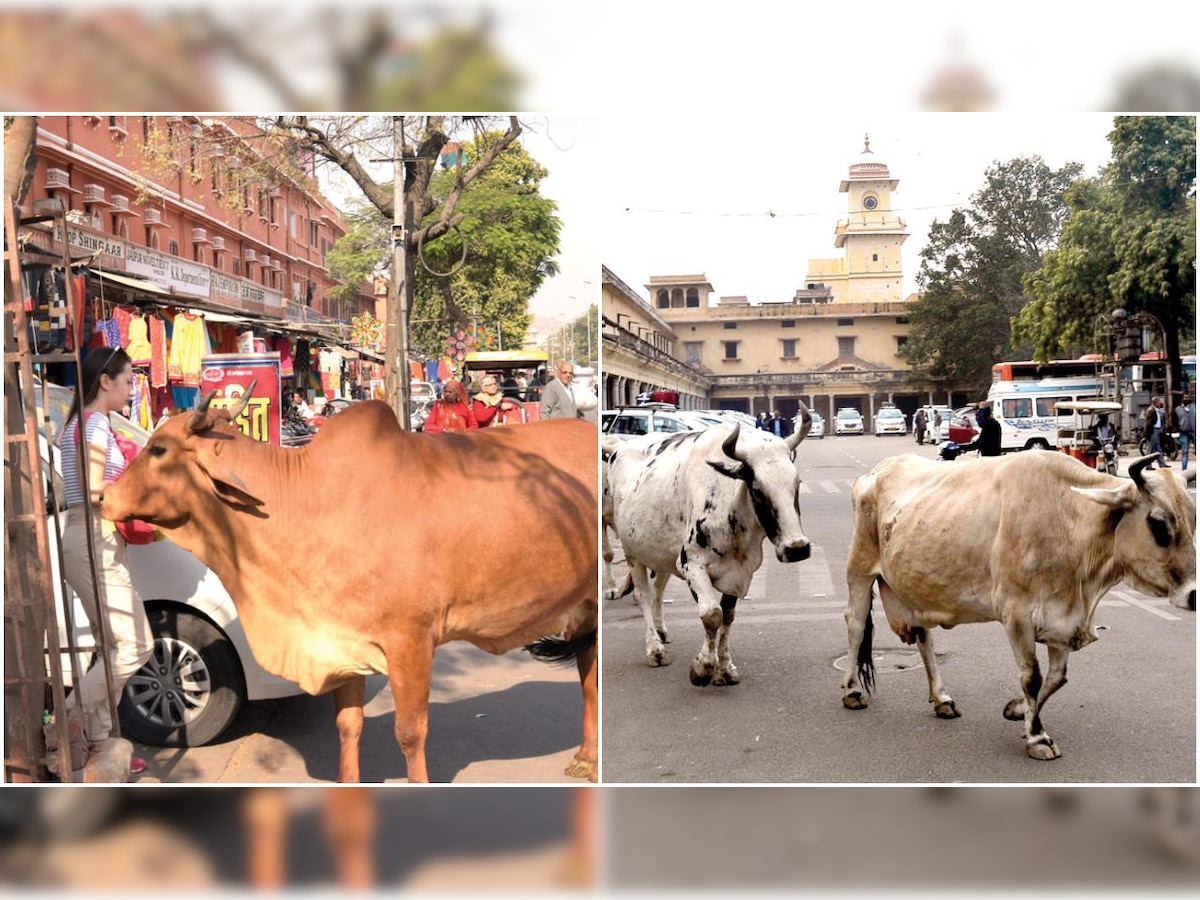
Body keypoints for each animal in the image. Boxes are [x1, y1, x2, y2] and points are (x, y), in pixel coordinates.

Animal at [100, 391, 597, 787]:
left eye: (159, 448)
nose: (105, 497)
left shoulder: (411, 641)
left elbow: (410, 732)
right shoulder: (340, 640)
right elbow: (348, 726)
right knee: (588, 672)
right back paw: (587, 758)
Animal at [604, 412, 811, 686]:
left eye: (797, 483)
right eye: (757, 490)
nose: (797, 548)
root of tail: (619, 448)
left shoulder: (739, 573)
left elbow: (727, 616)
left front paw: (724, 668)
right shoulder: (691, 564)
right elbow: (711, 614)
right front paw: (703, 668)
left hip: (660, 556)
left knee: (658, 590)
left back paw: (661, 631)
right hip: (632, 552)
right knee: (643, 596)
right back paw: (655, 649)